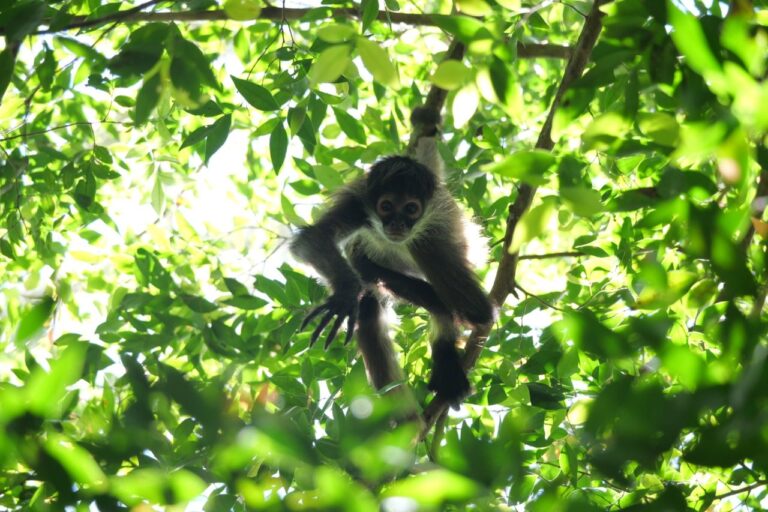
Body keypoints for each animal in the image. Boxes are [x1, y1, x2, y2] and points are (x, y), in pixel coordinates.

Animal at [290, 108, 493, 406]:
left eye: (411, 209)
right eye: (386, 206)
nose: (397, 224)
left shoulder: (431, 237)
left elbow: (479, 311)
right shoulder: (358, 205)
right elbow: (313, 240)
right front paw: (346, 293)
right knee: (369, 310)